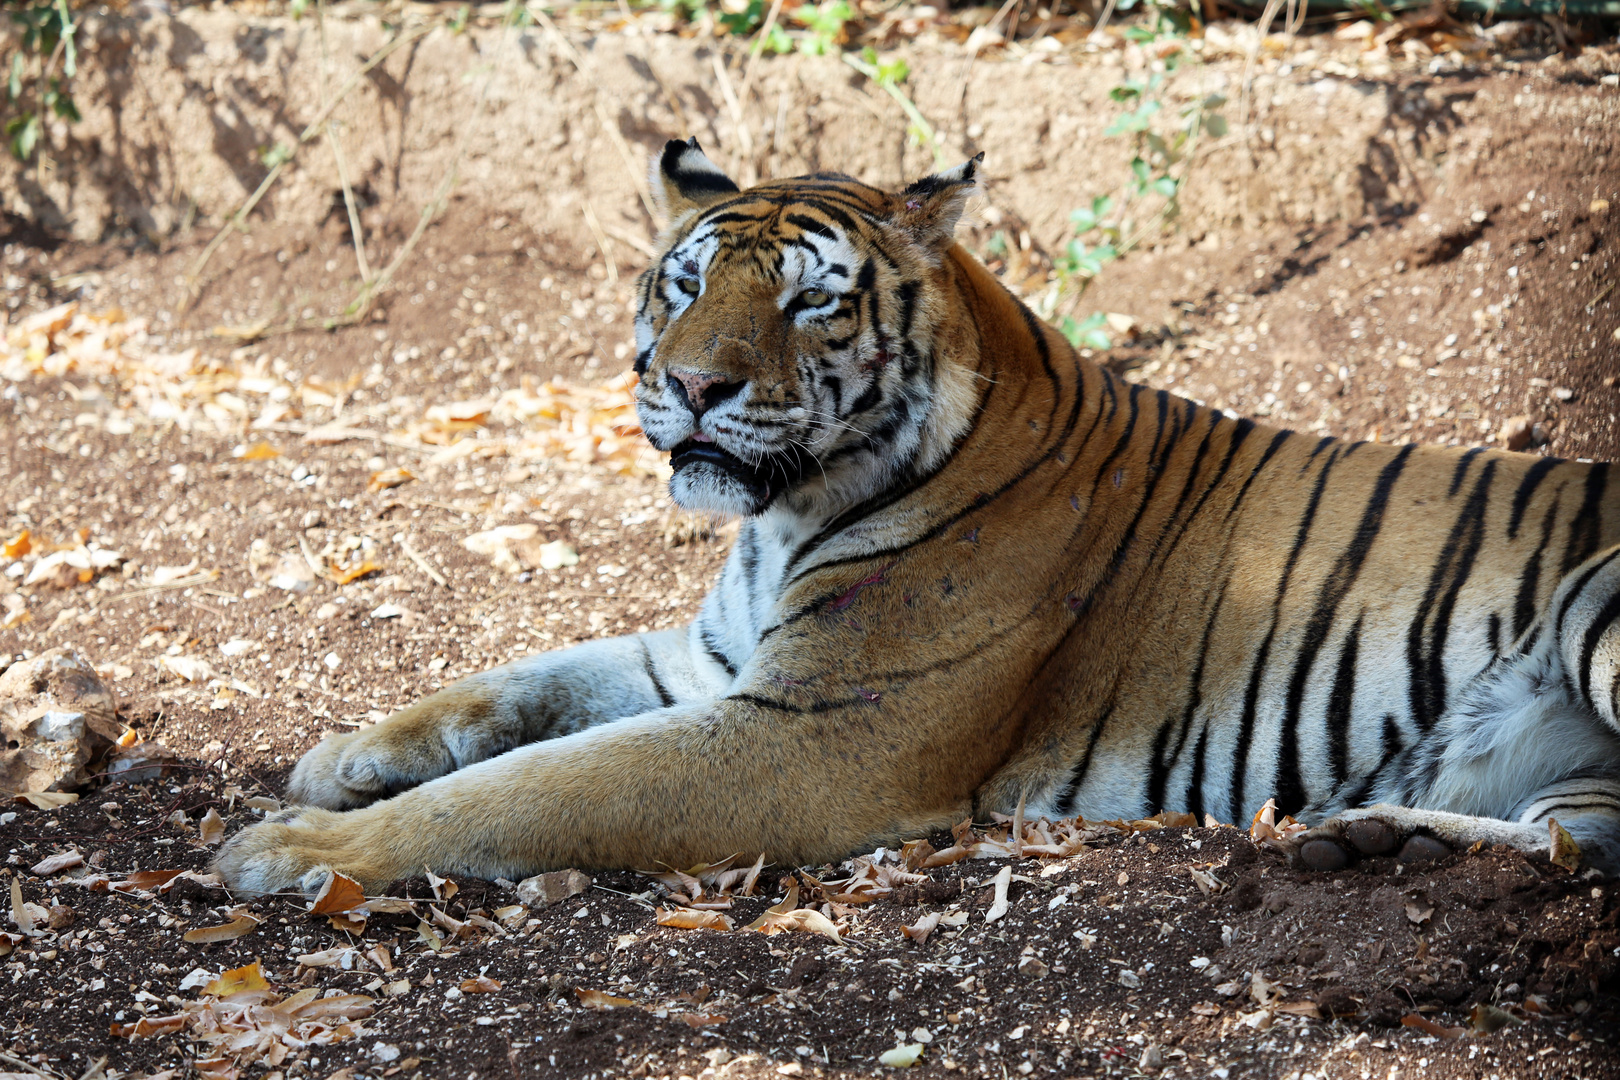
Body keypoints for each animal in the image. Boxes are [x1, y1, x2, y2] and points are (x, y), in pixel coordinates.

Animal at [215, 137, 1620, 893]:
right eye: (684, 283)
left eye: (810, 301)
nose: (692, 387)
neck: (782, 513)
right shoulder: (710, 663)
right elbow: (515, 686)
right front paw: (339, 759)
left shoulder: (818, 732)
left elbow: (531, 788)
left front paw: (290, 847)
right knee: (1581, 844)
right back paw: (1365, 838)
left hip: (1598, 607)